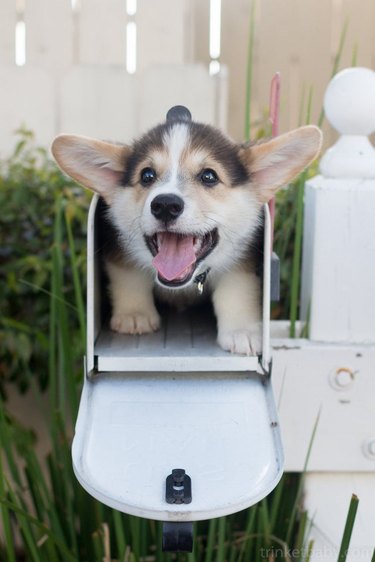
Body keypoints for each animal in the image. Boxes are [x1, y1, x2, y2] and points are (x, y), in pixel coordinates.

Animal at [51, 105, 324, 354]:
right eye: (147, 175)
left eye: (209, 176)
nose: (165, 205)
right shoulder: (118, 250)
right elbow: (130, 276)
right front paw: (135, 315)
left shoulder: (242, 264)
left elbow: (235, 291)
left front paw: (241, 332)